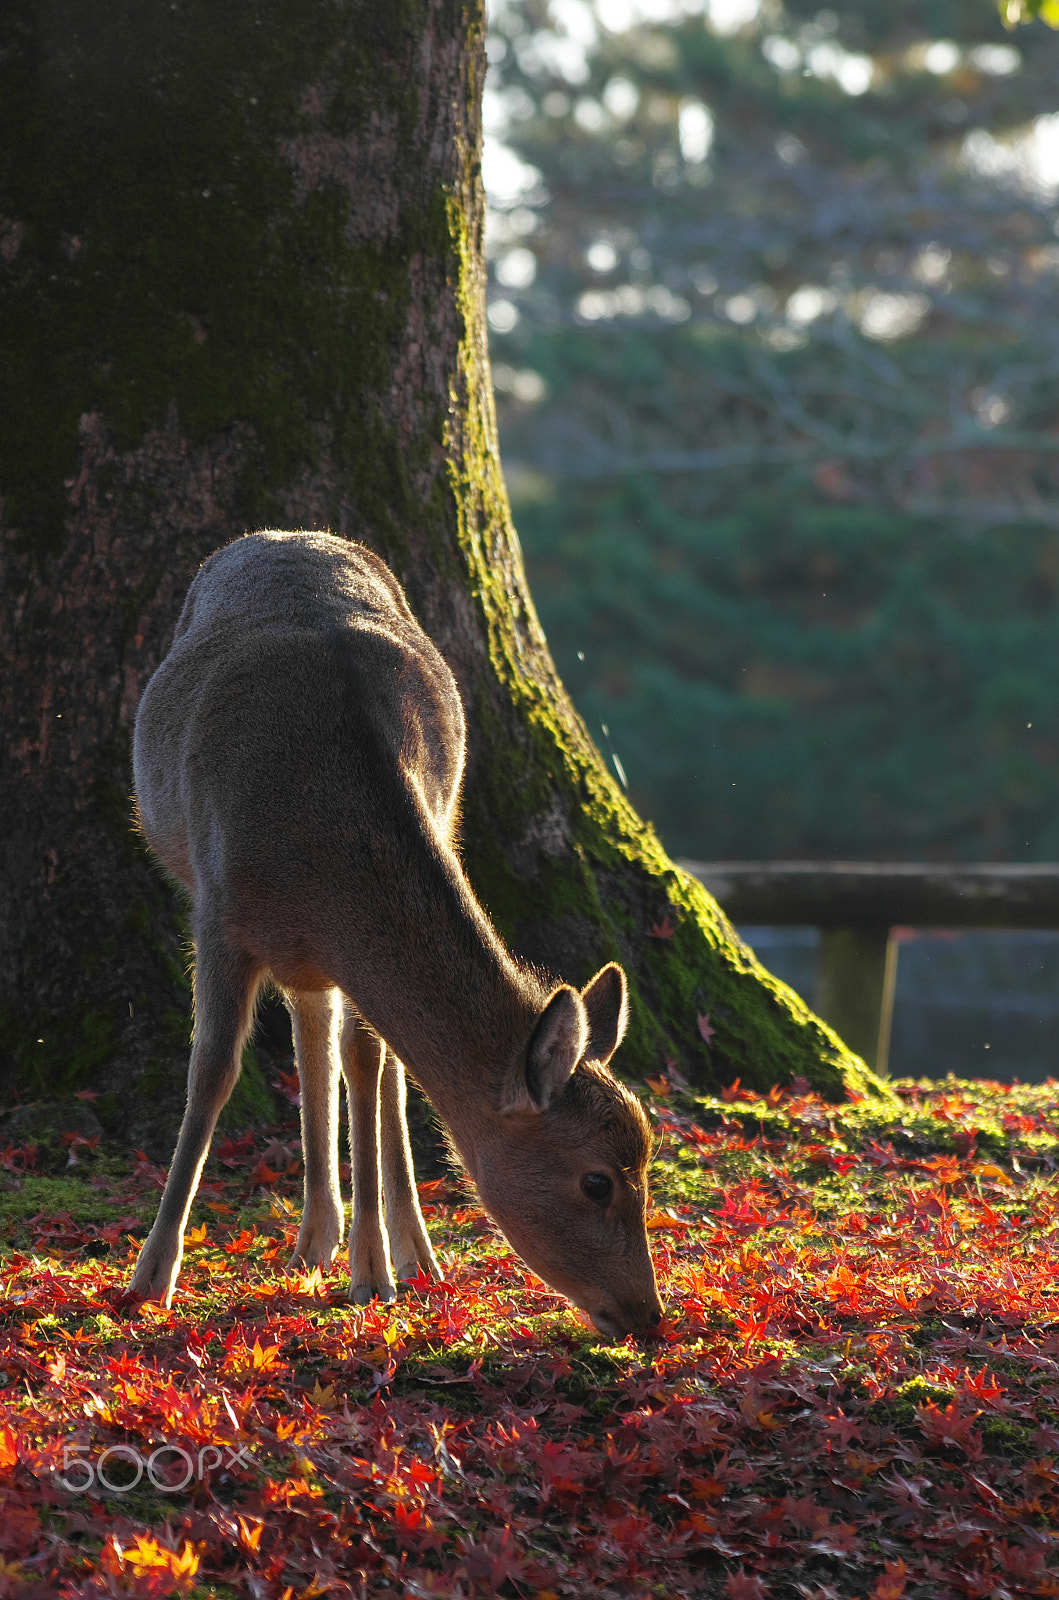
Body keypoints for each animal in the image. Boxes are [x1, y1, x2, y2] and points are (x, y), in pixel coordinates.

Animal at [130, 528, 665, 1337]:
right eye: (597, 1181)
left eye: (647, 1163)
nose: (649, 1316)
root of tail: (285, 534)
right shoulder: (216, 910)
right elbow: (212, 1074)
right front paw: (150, 1280)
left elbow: (371, 1069)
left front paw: (374, 1273)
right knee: (314, 1032)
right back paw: (315, 1240)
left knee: (353, 1053)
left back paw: (399, 1251)